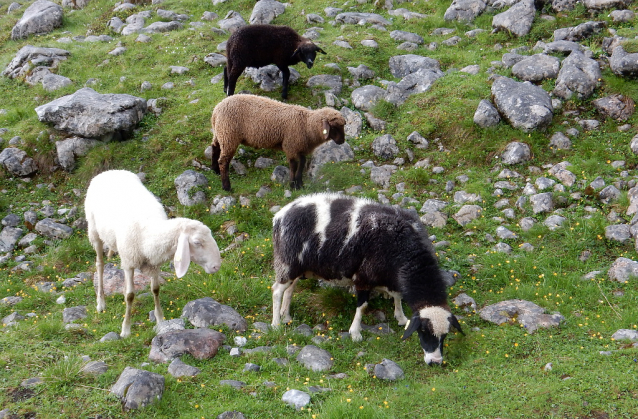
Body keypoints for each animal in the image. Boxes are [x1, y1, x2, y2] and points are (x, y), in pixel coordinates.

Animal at [85, 171, 224, 338]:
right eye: (197, 242)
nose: (216, 266)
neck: (148, 233)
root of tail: (110, 171)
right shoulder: (129, 262)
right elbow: (130, 295)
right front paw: (126, 329)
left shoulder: (154, 263)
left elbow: (156, 289)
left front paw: (160, 320)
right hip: (94, 231)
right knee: (100, 264)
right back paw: (101, 303)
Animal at [211, 94, 348, 191]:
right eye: (334, 127)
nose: (342, 141)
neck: (307, 125)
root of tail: (216, 110)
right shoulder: (290, 146)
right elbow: (293, 165)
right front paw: (293, 185)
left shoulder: (300, 148)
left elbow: (302, 163)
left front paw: (300, 184)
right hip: (229, 136)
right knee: (223, 161)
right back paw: (227, 187)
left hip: (220, 134)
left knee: (214, 148)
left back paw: (215, 171)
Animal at [272, 193, 464, 364]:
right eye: (423, 331)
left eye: (445, 335)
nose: (435, 362)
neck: (405, 248)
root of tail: (280, 215)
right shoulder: (364, 277)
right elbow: (362, 306)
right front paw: (355, 333)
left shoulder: (391, 276)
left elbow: (397, 296)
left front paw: (401, 317)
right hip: (287, 262)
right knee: (277, 291)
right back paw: (276, 324)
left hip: (298, 267)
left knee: (290, 289)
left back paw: (286, 316)